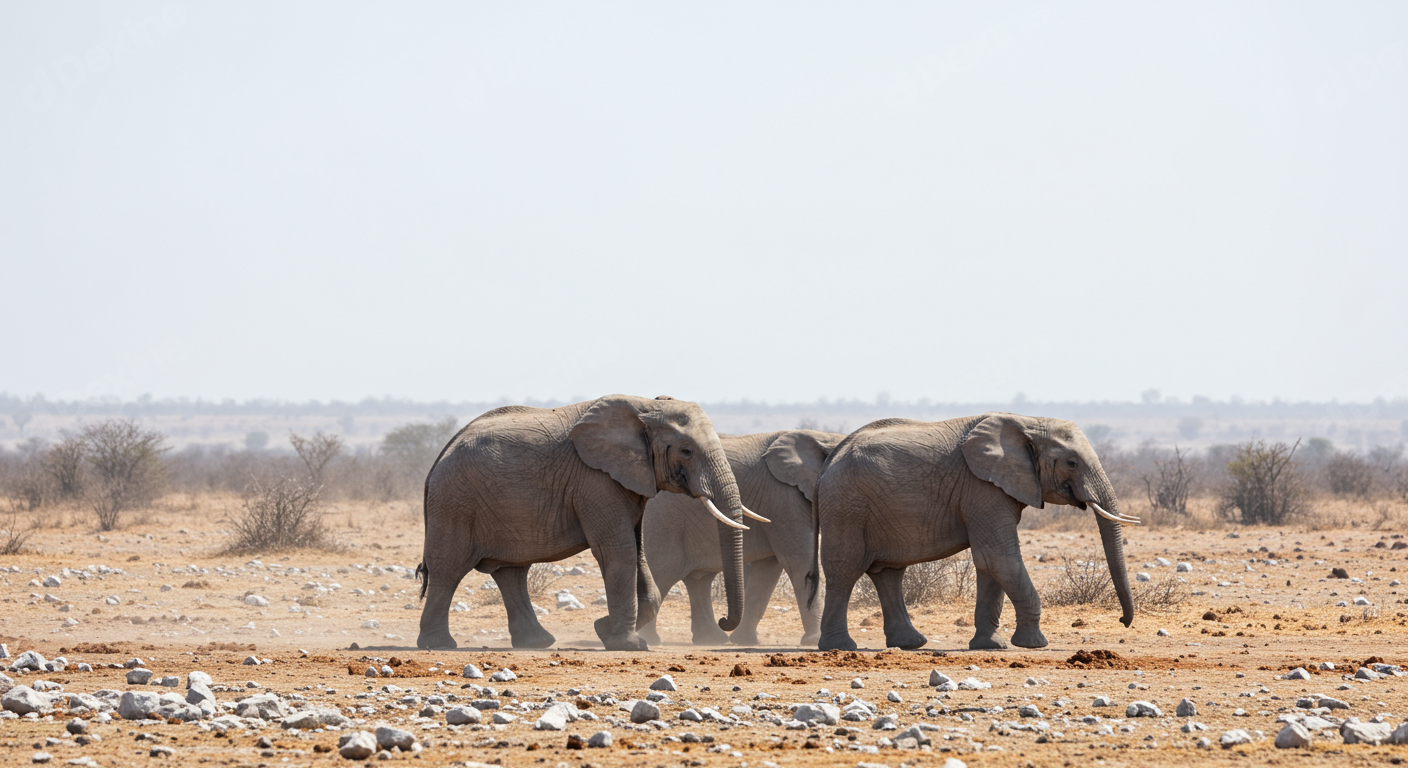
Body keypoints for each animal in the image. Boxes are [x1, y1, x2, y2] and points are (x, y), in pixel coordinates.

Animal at [415, 394, 760, 652]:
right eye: (687, 451)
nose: (724, 622)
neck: (645, 406)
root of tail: (440, 456)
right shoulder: (595, 480)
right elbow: (617, 550)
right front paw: (628, 644)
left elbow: (637, 551)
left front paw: (603, 629)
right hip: (455, 502)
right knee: (449, 569)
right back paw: (439, 645)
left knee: (510, 572)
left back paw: (537, 643)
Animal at [638, 430, 844, 647]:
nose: (724, 618)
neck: (823, 437)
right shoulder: (783, 497)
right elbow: (798, 563)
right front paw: (814, 640)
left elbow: (767, 573)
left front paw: (744, 640)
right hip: (664, 524)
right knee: (664, 572)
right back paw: (651, 640)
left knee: (698, 579)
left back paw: (712, 640)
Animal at [812, 412, 1139, 652]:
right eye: (1072, 463)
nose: (1123, 621)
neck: (1028, 422)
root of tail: (830, 460)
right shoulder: (982, 487)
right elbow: (999, 558)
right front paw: (1034, 644)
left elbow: (988, 563)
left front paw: (990, 645)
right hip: (846, 506)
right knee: (845, 570)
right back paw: (839, 647)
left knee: (888, 573)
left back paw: (910, 644)